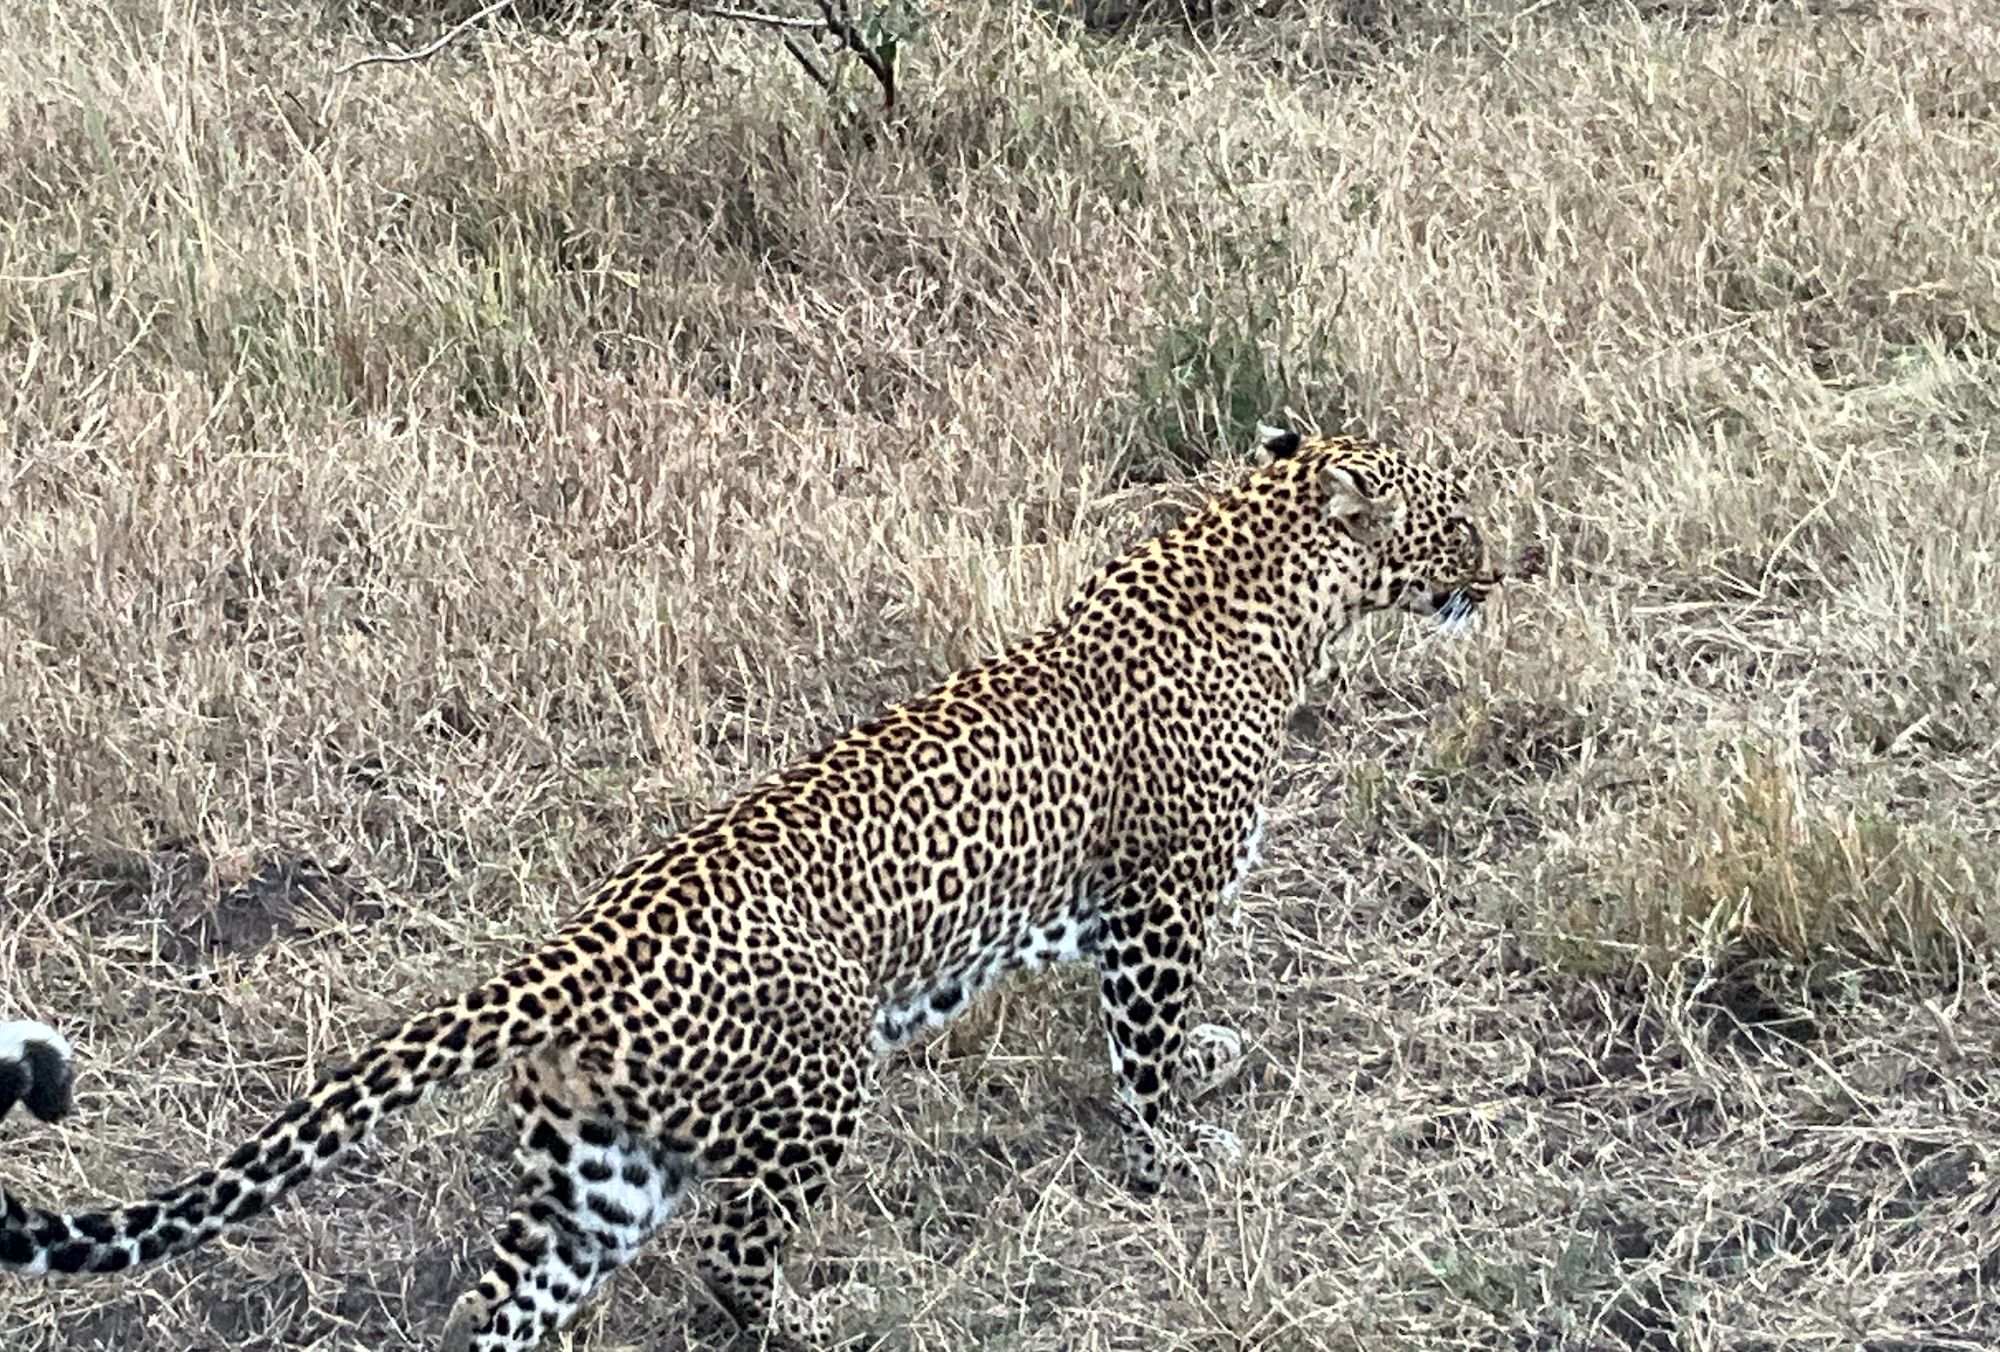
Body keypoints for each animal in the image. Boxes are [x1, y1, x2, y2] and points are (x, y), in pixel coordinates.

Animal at [0, 428, 1540, 1349]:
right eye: (1454, 513)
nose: (1509, 564)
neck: (1264, 576)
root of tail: (569, 951)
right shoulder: (1161, 904)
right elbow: (1144, 1051)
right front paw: (1173, 1154)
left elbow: (1150, 1035)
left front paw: (1208, 1073)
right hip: (816, 1082)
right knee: (732, 1265)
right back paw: (817, 1323)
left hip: (601, 1173)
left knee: (512, 1304)